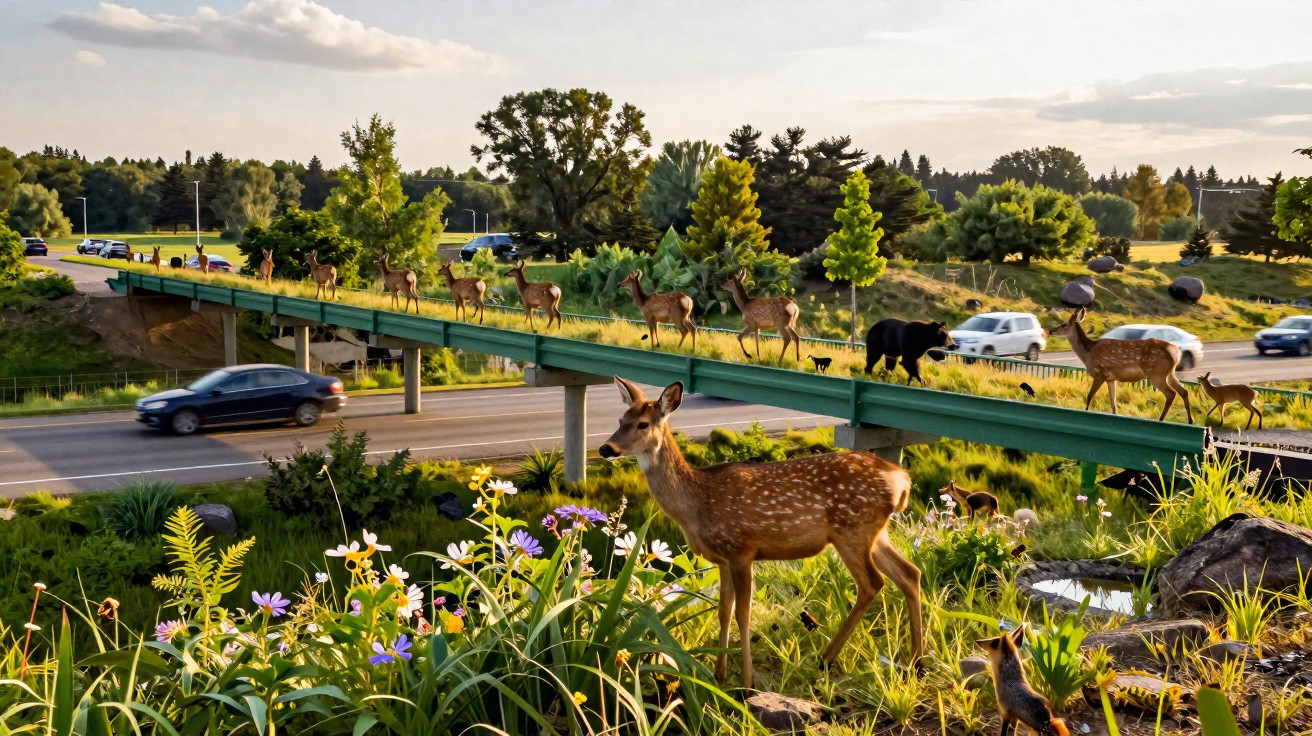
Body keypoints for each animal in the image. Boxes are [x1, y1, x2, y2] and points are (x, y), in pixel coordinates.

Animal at [599, 377, 924, 689]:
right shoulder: (722, 557)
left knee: (872, 583)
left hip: (851, 530)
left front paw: (747, 683)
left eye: (643, 424)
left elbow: (744, 614)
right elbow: (723, 610)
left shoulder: (741, 550)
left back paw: (827, 659)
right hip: (874, 533)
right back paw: (916, 664)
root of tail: (902, 478)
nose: (606, 449)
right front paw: (718, 675)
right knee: (909, 573)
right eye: (620, 419)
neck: (697, 503)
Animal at [1050, 308, 1193, 423]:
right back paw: (1190, 420)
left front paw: (1085, 411)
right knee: (1183, 390)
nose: (1051, 331)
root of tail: (1176, 352)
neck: (1088, 353)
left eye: (1065, 324)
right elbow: (1113, 402)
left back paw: (1161, 419)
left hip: (1156, 373)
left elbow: (1090, 395)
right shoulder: (1111, 378)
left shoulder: (1099, 372)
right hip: (1169, 373)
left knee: (1171, 393)